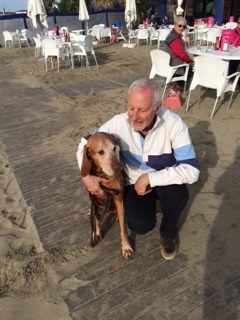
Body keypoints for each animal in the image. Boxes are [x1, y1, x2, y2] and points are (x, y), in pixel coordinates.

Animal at [80, 132, 133, 260]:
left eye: (114, 148)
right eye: (100, 152)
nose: (118, 168)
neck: (102, 175)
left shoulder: (118, 198)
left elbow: (123, 227)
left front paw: (126, 247)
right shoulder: (93, 196)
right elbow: (96, 217)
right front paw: (97, 232)